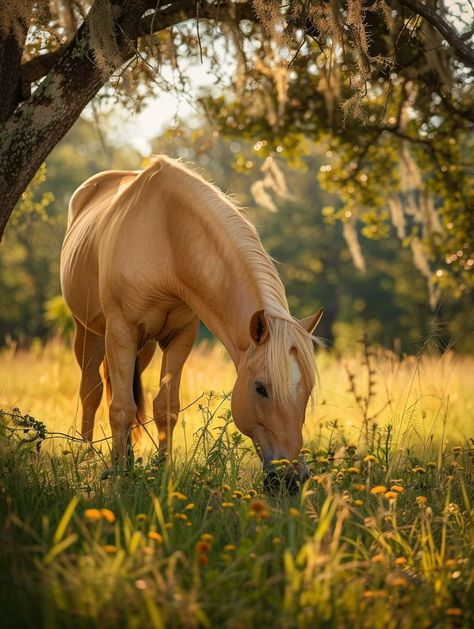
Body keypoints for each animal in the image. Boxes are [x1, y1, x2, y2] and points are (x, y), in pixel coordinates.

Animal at [60, 157, 322, 490]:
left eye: (308, 389)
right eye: (260, 388)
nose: (292, 479)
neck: (166, 236)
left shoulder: (180, 336)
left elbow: (165, 408)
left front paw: (160, 474)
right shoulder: (121, 330)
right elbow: (120, 409)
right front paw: (119, 480)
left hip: (142, 348)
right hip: (90, 333)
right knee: (91, 393)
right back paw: (88, 458)